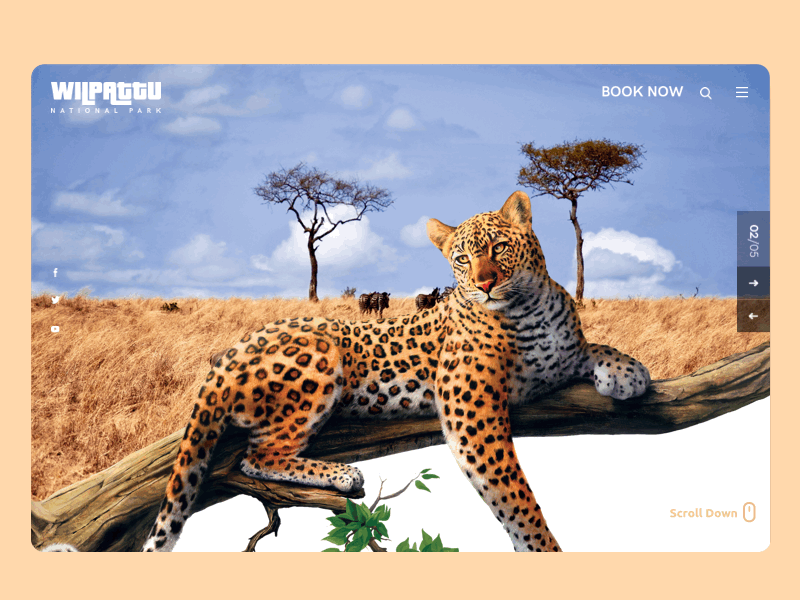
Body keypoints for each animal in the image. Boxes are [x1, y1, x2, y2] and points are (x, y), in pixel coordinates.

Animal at [142, 190, 651, 552]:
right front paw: (540, 547)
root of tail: (228, 354)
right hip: (321, 357)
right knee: (258, 455)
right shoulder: (471, 407)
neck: (530, 308)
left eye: (500, 247)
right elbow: (514, 493)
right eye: (462, 259)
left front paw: (628, 371)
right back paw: (342, 475)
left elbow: (592, 347)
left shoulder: (561, 354)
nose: (484, 283)